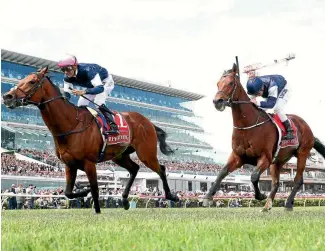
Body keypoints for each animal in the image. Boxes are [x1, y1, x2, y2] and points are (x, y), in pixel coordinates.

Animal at [2, 67, 178, 214]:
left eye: (32, 81)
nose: (7, 96)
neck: (70, 124)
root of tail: (148, 121)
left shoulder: (89, 163)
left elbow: (95, 188)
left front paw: (97, 209)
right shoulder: (69, 165)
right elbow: (68, 192)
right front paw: (84, 191)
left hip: (146, 153)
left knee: (161, 169)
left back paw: (172, 196)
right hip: (120, 155)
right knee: (134, 169)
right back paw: (125, 200)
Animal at [204, 63, 322, 212]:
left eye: (230, 83)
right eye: (218, 83)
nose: (217, 101)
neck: (248, 125)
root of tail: (307, 126)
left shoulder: (265, 157)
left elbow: (254, 176)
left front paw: (260, 195)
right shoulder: (238, 156)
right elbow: (222, 172)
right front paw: (208, 197)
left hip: (302, 153)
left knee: (298, 180)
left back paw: (288, 204)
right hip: (278, 161)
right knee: (276, 183)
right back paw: (267, 206)